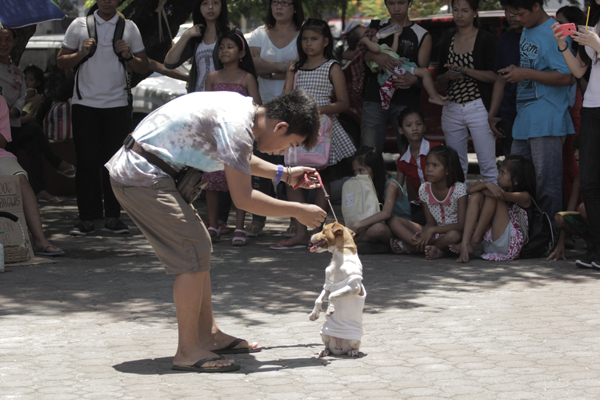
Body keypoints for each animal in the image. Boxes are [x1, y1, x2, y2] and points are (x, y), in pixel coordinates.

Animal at [310, 222, 366, 356]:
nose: (310, 235)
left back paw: (353, 352)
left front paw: (330, 309)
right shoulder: (327, 286)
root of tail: (340, 347)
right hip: (324, 333)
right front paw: (314, 314)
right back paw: (324, 351)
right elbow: (318, 300)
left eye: (323, 230)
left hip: (354, 339)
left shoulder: (354, 287)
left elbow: (333, 295)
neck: (338, 260)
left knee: (356, 346)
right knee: (327, 346)